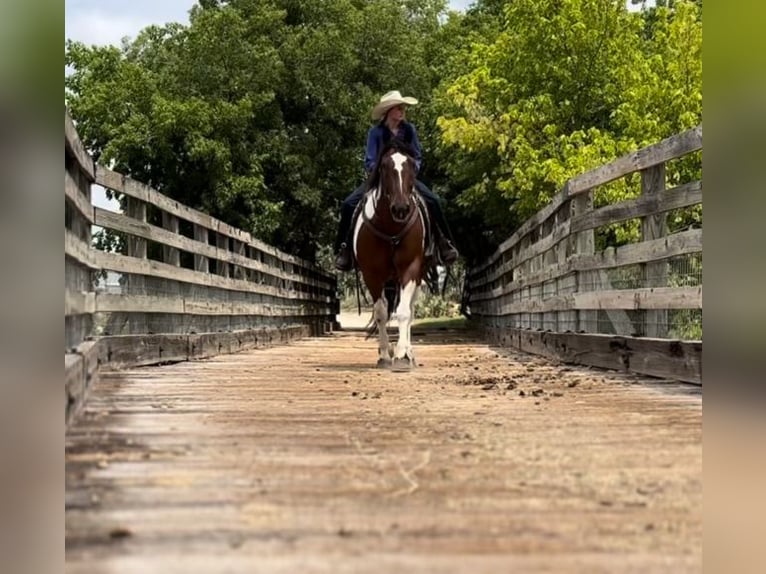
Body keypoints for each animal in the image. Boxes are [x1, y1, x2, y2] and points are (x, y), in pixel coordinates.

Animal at [352, 141, 426, 374]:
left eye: (411, 165)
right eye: (384, 167)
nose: (401, 209)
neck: (392, 229)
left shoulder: (410, 270)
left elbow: (403, 312)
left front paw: (401, 355)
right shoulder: (371, 274)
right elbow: (381, 313)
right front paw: (385, 354)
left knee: (410, 310)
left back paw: (409, 353)